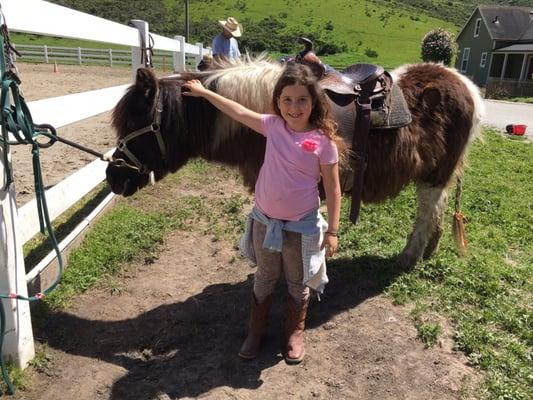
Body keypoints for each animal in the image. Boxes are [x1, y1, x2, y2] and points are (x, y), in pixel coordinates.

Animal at [106, 59, 484, 268]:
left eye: (136, 123)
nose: (113, 177)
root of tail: (464, 83)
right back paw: (427, 251)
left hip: (435, 176)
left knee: (427, 212)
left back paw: (409, 257)